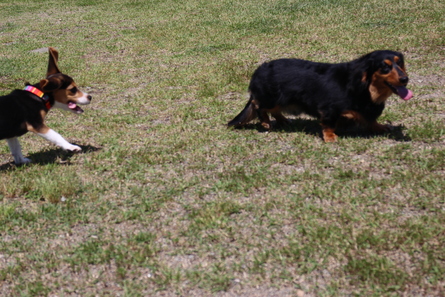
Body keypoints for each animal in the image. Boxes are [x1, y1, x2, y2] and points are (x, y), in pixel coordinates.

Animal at [229, 49, 412, 141]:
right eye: (385, 66)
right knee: (258, 105)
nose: (405, 79)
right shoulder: (329, 109)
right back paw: (266, 122)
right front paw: (330, 137)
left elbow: (370, 120)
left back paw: (283, 120)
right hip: (270, 97)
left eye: (400, 63)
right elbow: (329, 124)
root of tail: (259, 70)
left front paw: (380, 127)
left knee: (274, 110)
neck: (365, 87)